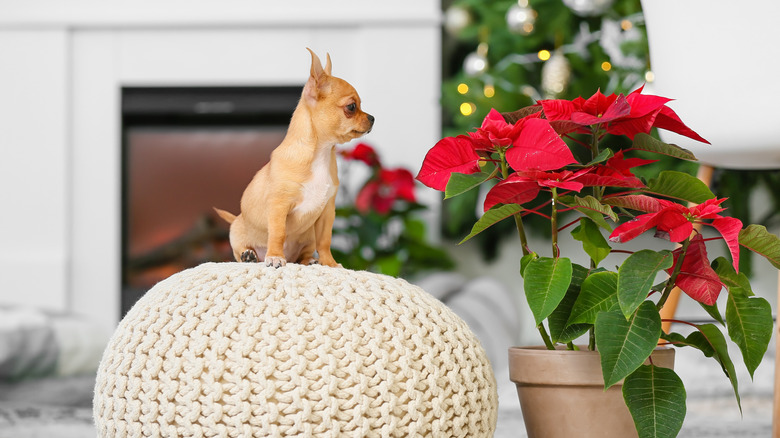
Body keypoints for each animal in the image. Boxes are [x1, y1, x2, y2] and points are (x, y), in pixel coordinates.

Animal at [213, 48, 372, 266]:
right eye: (351, 107)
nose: (373, 118)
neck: (320, 153)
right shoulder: (279, 206)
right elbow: (278, 233)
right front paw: (275, 257)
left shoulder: (327, 212)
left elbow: (325, 241)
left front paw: (330, 263)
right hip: (236, 234)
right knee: (241, 253)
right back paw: (250, 256)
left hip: (309, 237)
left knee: (304, 255)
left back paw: (311, 261)